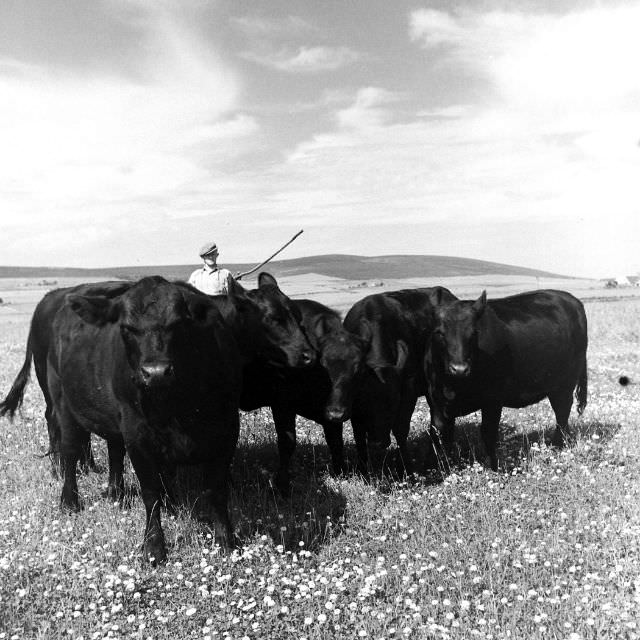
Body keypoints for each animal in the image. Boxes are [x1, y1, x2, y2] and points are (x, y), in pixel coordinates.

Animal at [239, 300, 364, 496]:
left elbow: (336, 441)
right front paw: (282, 485)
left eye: (357, 370)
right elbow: (287, 442)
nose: (336, 413)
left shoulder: (329, 412)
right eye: (324, 366)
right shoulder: (282, 403)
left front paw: (340, 474)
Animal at [342, 288, 458, 472]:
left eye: (392, 404)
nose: (377, 443)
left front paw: (405, 467)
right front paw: (362, 467)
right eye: (363, 402)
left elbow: (401, 429)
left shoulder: (408, 393)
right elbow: (358, 431)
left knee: (438, 421)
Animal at [428, 290, 588, 470]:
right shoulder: (437, 405)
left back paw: (558, 445)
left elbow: (488, 432)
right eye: (439, 332)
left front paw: (493, 467)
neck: (454, 387)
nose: (459, 369)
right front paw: (439, 468)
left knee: (562, 412)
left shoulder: (493, 401)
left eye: (474, 333)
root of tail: (572, 299)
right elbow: (438, 437)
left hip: (564, 384)